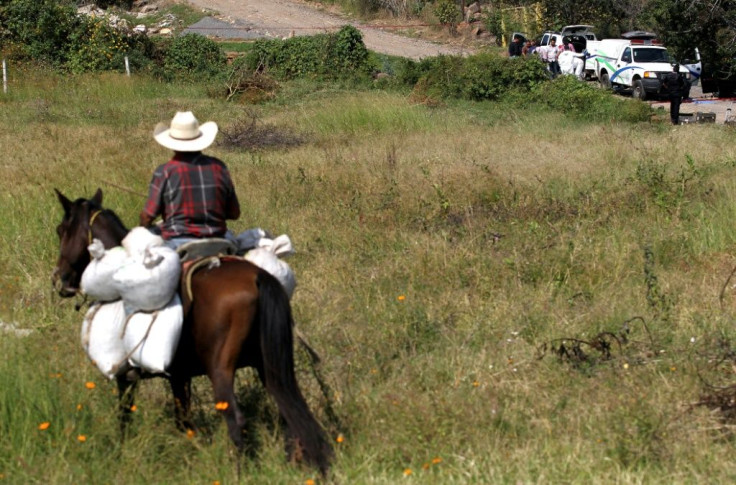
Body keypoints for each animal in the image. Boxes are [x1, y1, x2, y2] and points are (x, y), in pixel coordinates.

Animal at [53, 188, 334, 472]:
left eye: (60, 230)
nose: (61, 280)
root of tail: (259, 277)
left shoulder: (128, 376)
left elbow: (126, 416)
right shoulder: (179, 375)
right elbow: (183, 421)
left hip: (220, 369)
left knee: (236, 417)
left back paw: (240, 471)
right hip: (268, 363)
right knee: (289, 408)